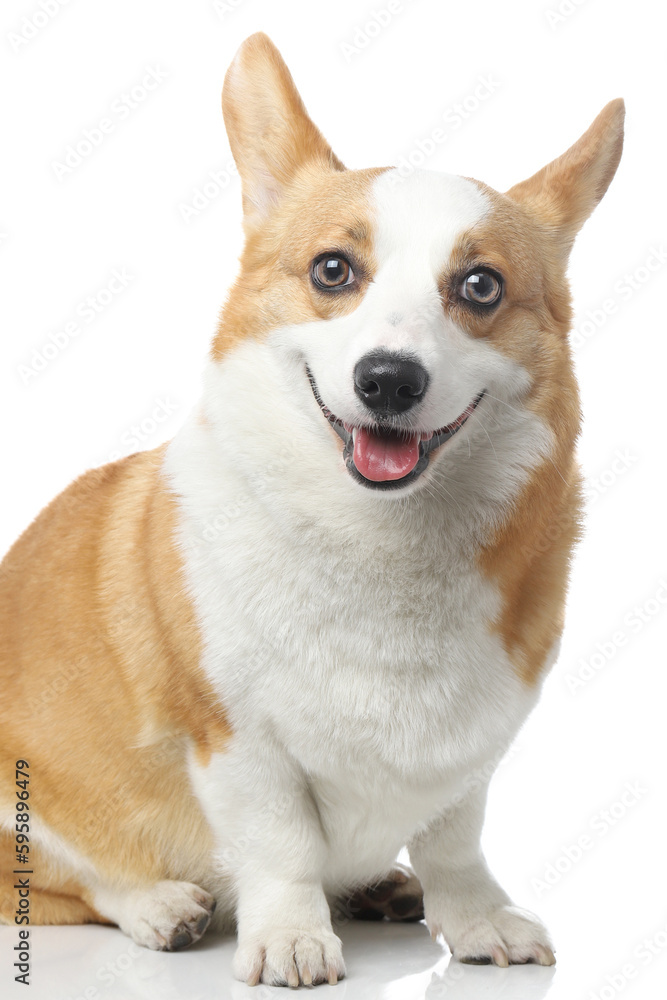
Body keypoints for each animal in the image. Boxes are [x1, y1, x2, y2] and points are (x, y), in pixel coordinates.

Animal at [1, 33, 628, 992]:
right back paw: (159, 906)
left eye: (480, 286)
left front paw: (473, 920)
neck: (380, 543)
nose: (389, 380)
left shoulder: (471, 752)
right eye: (333, 270)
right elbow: (282, 845)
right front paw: (291, 940)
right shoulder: (236, 742)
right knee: (69, 883)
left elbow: (455, 842)